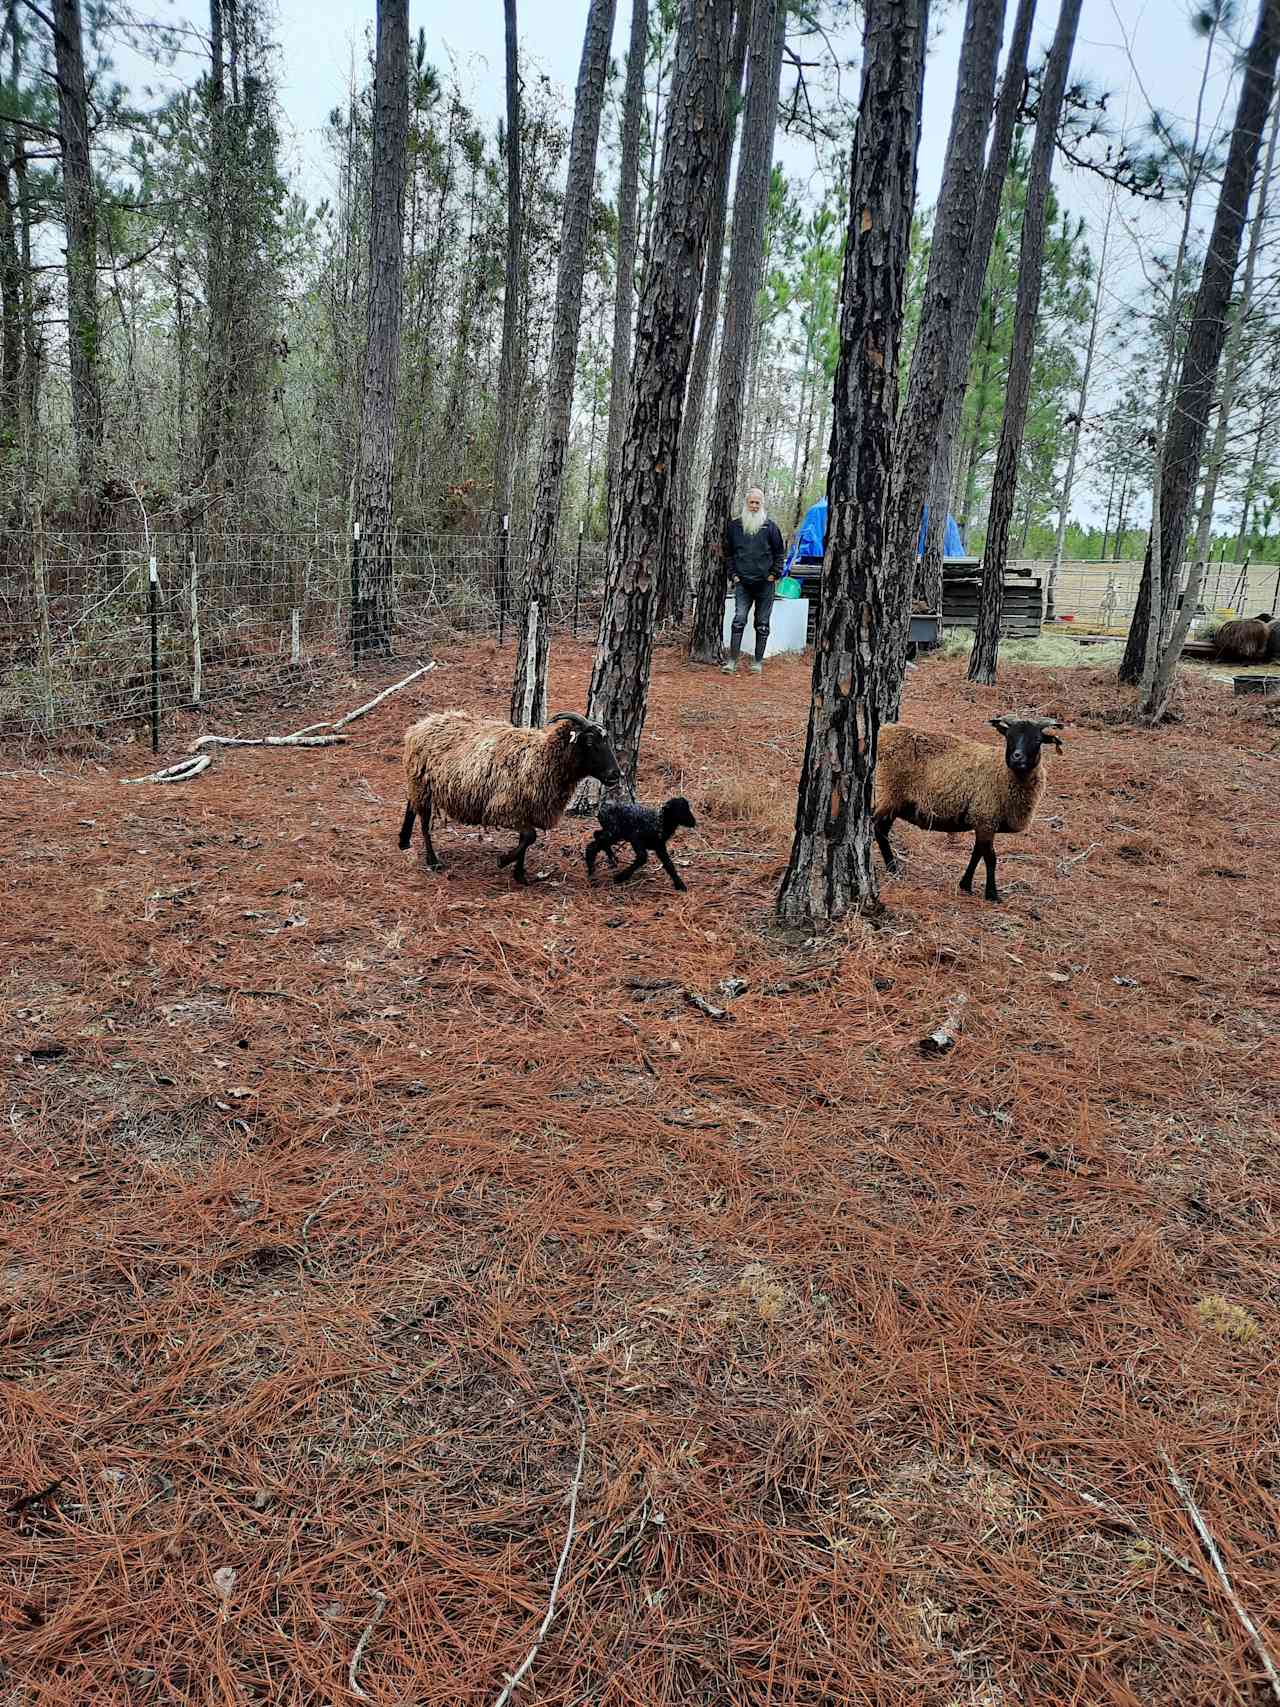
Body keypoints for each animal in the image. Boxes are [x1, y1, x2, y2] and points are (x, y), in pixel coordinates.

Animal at [399, 713, 624, 887]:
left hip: (418, 784)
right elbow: (530, 836)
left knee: (410, 804)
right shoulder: (503, 810)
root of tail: (419, 726)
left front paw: (519, 875)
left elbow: (526, 839)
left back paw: (404, 841)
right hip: (423, 787)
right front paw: (504, 861)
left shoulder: (527, 810)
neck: (543, 758)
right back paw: (432, 861)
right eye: (590, 742)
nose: (616, 774)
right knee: (424, 824)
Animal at [873, 716, 1071, 908]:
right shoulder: (985, 818)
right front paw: (992, 895)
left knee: (880, 831)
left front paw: (966, 885)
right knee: (875, 829)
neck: (1002, 774)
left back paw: (893, 869)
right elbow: (990, 858)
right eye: (1009, 737)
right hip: (884, 795)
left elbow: (977, 853)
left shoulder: (983, 822)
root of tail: (882, 732)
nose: (1017, 757)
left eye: (1037, 739)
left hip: (892, 803)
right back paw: (890, 869)